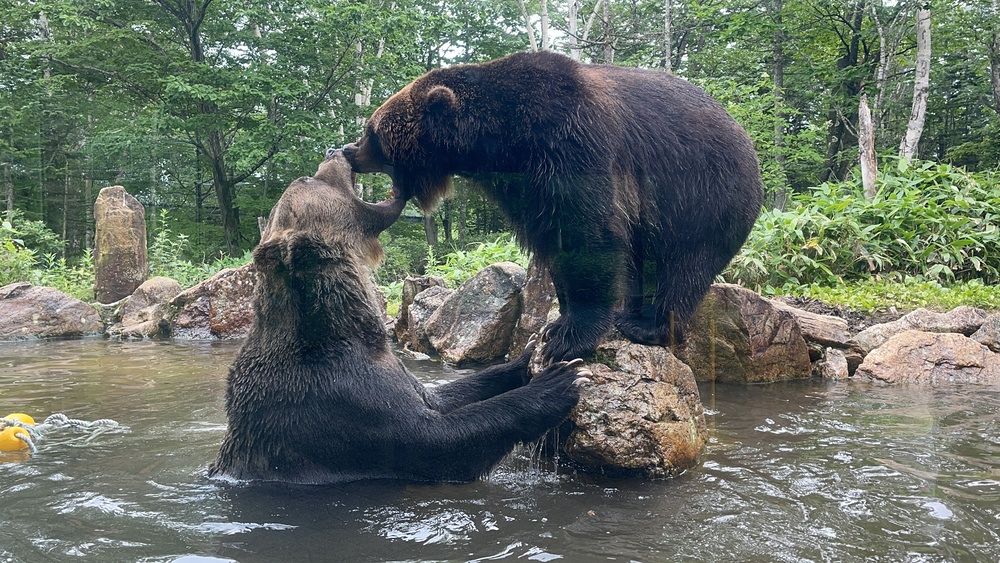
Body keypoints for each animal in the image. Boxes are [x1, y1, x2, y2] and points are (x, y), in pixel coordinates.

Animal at [209, 151, 584, 484]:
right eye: (308, 179)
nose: (334, 150)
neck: (339, 327)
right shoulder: (341, 399)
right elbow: (438, 439)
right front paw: (560, 382)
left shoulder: (394, 377)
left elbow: (444, 396)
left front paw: (532, 355)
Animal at [340, 50, 760, 364]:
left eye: (372, 132)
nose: (347, 150)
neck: (503, 139)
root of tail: (746, 140)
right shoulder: (525, 186)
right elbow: (554, 239)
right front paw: (556, 322)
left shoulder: (570, 141)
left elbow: (588, 234)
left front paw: (566, 335)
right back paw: (630, 314)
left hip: (702, 195)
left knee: (684, 264)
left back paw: (648, 324)